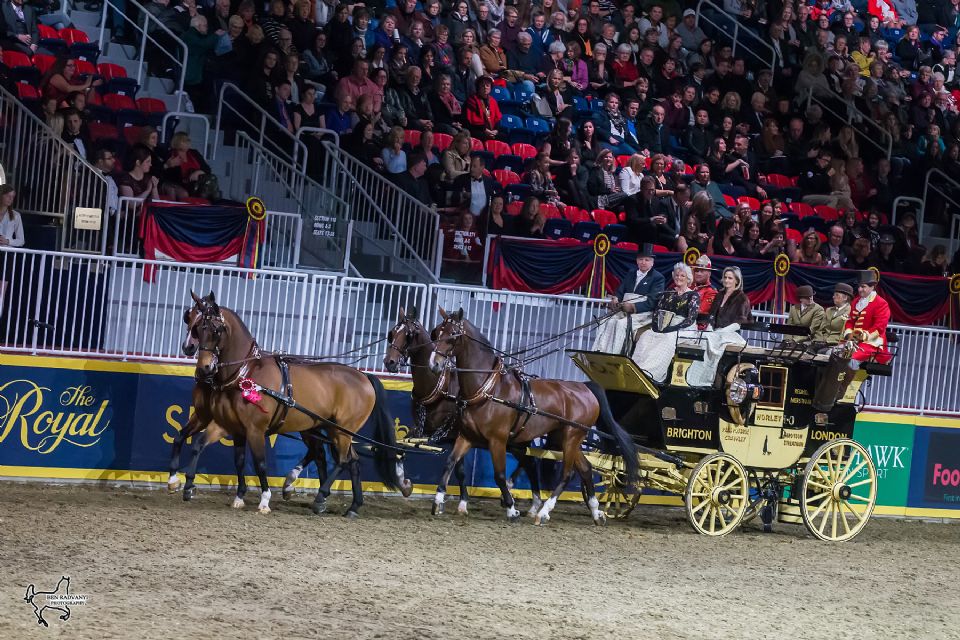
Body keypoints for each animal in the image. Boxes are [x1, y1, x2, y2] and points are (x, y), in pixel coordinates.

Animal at [188, 292, 412, 516]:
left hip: (343, 430)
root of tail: (364, 376)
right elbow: (214, 450)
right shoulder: (230, 426)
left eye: (216, 330)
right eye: (198, 329)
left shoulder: (255, 429)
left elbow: (260, 464)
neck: (245, 373)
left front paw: (265, 500)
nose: (204, 368)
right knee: (352, 461)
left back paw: (320, 497)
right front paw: (196, 488)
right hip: (331, 429)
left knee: (343, 460)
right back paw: (353, 506)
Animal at [384, 308, 548, 516]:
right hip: (514, 442)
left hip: (516, 440)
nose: (389, 362)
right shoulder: (421, 430)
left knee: (531, 463)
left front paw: (461, 503)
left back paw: (532, 502)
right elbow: (400, 448)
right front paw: (404, 484)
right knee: (529, 462)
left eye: (409, 334)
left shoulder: (456, 434)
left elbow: (460, 470)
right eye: (392, 333)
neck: (438, 387)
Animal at [428, 308, 636, 524]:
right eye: (437, 332)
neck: (488, 389)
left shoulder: (498, 440)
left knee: (567, 474)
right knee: (585, 469)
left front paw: (511, 509)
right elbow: (450, 462)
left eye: (453, 335)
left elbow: (499, 475)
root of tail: (585, 387)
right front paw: (438, 501)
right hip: (566, 438)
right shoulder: (466, 436)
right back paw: (596, 512)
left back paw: (544, 512)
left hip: (571, 437)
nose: (434, 364)